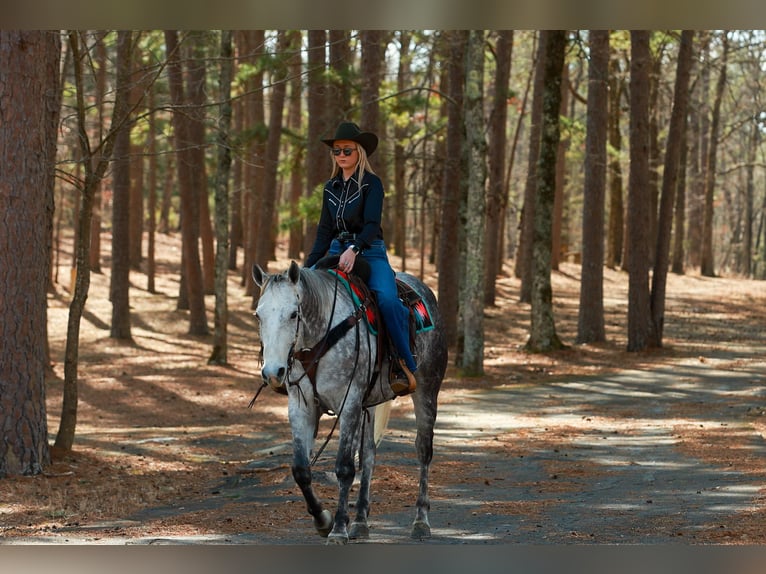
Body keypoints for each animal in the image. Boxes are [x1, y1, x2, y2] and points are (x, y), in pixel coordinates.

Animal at [251, 260, 447, 544]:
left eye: (293, 314)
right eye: (258, 315)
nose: (272, 372)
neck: (321, 336)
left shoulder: (349, 403)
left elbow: (344, 467)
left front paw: (338, 528)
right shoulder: (301, 408)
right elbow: (301, 470)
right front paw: (323, 520)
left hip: (427, 389)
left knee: (423, 450)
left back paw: (421, 521)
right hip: (370, 404)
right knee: (369, 455)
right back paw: (361, 522)